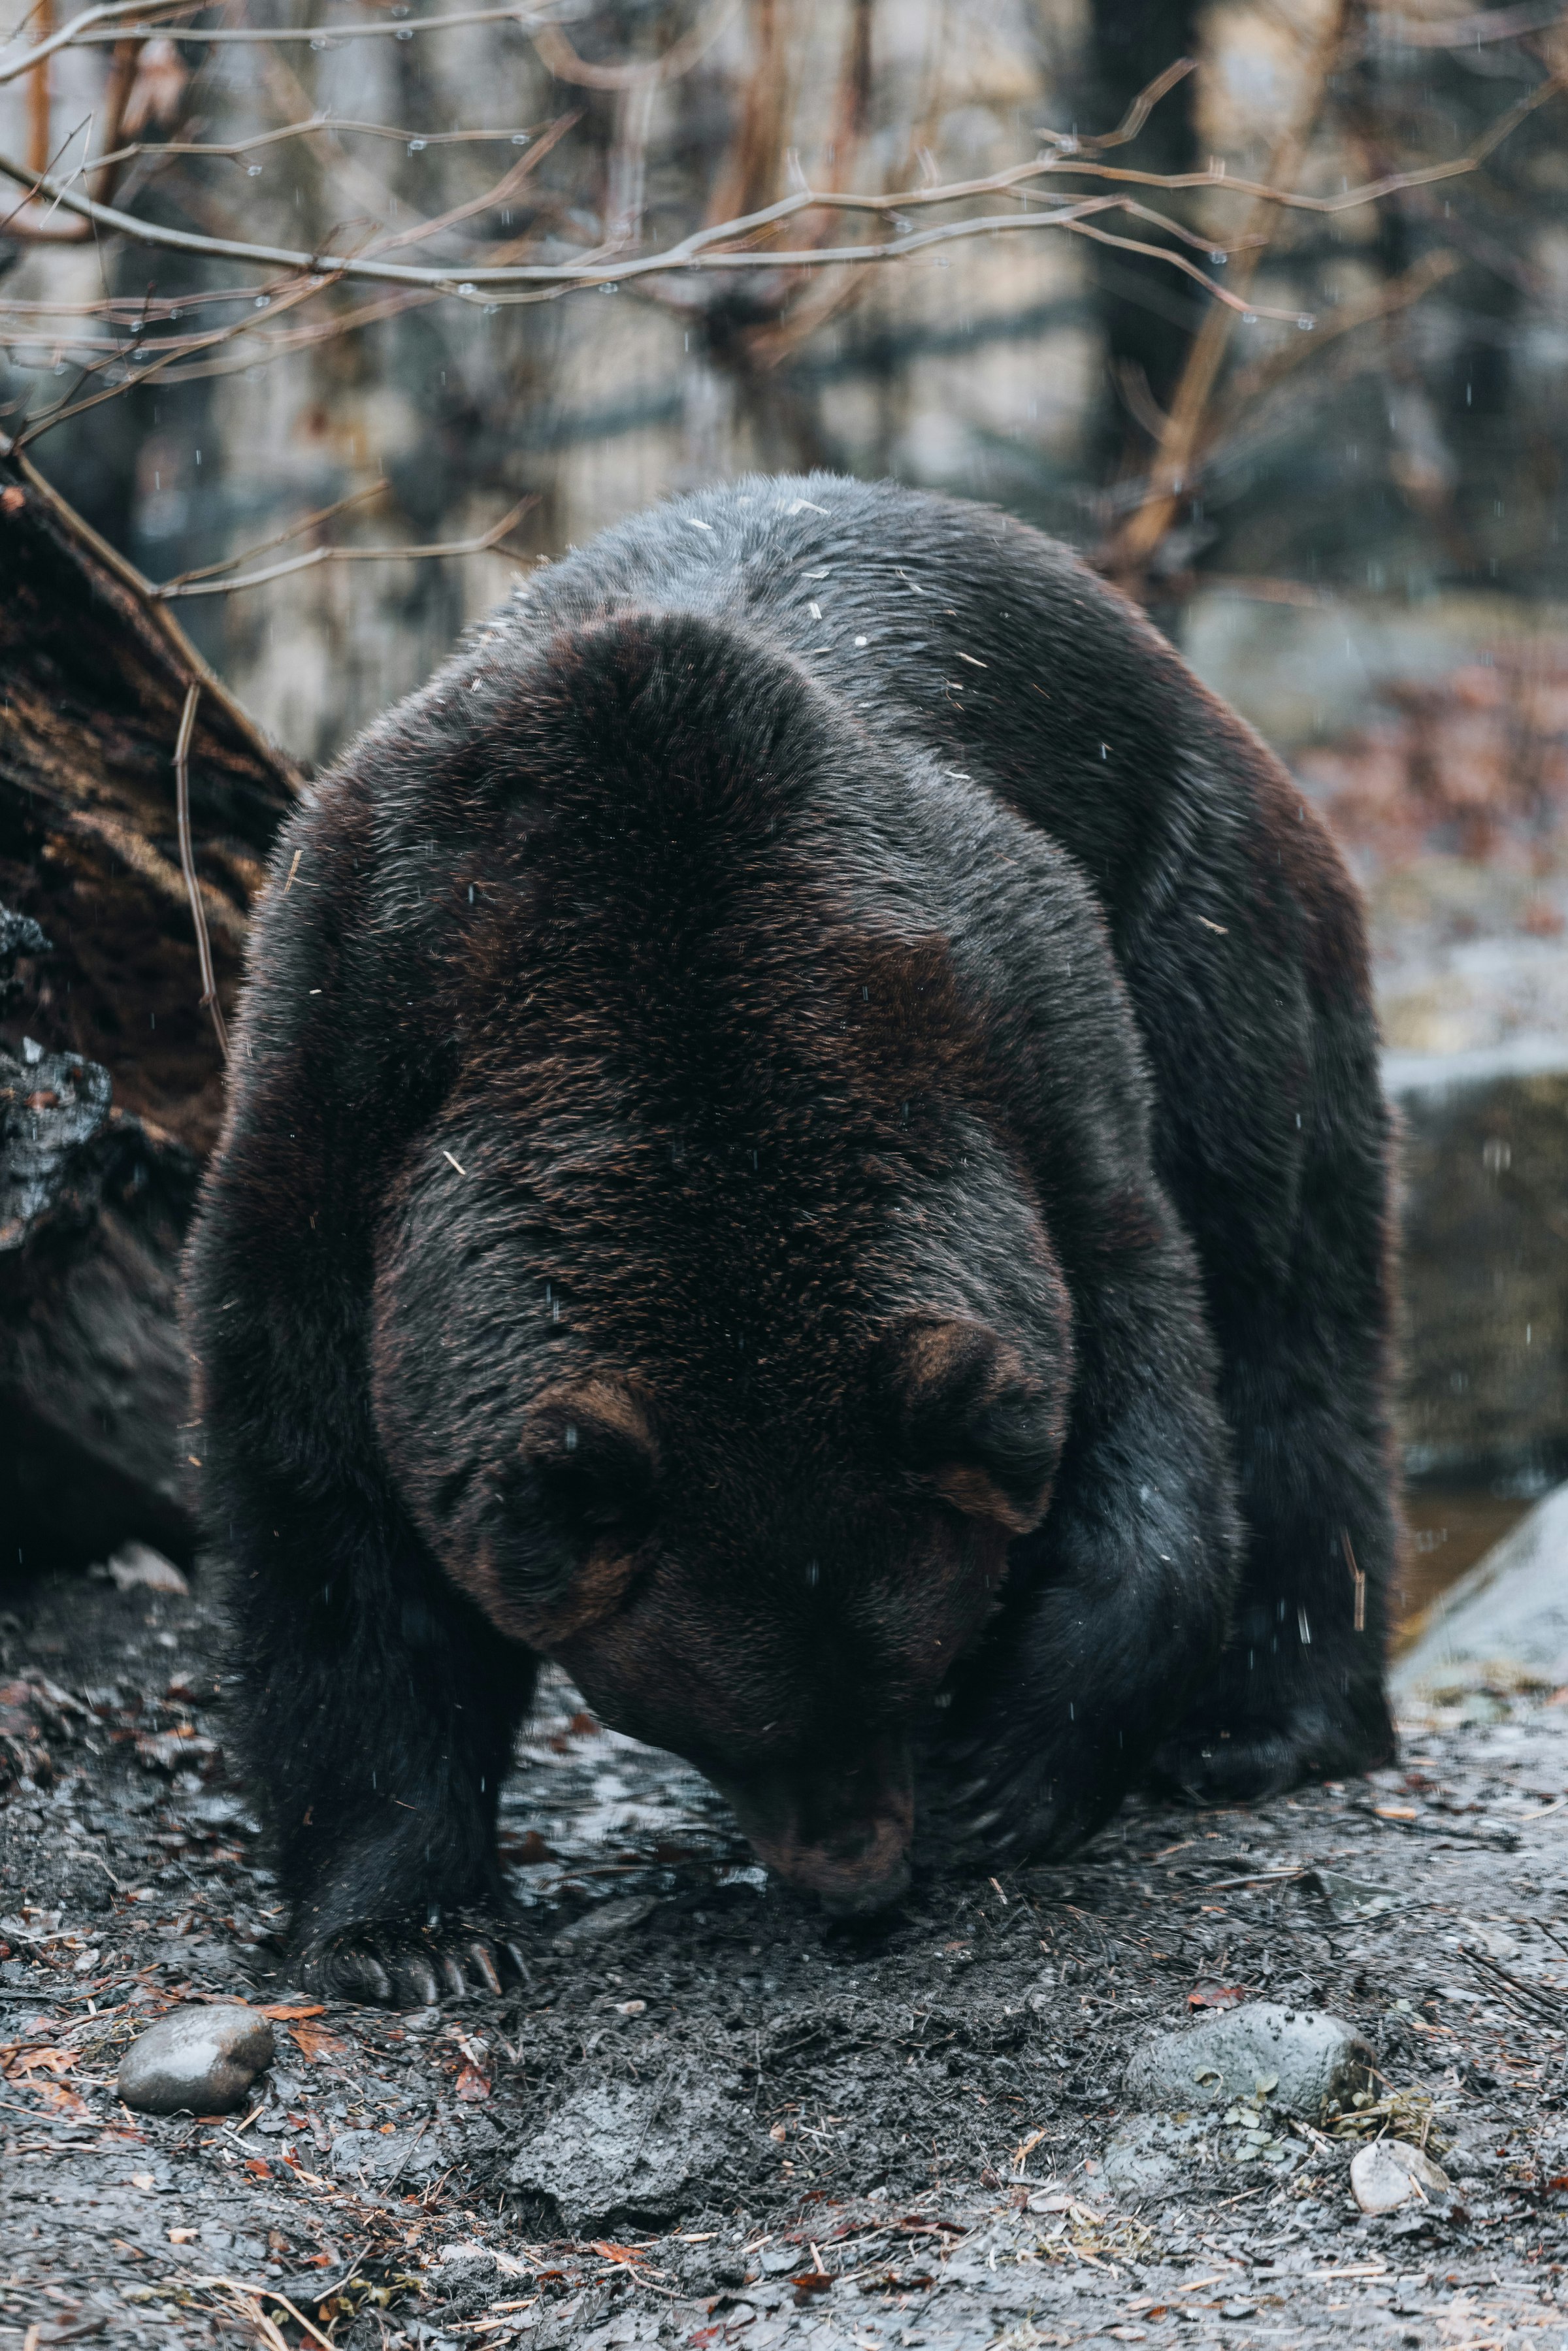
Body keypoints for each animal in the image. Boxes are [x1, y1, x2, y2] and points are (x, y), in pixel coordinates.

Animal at [185, 473, 1396, 2005]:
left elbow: (1148, 1387)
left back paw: (1266, 1722)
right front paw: (415, 1931)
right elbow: (330, 1521)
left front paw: (1005, 1772)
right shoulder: (346, 1105)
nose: (862, 1877)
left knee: (1288, 1315)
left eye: (909, 1664)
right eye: (715, 1719)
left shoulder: (1025, 1046)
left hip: (1213, 926)